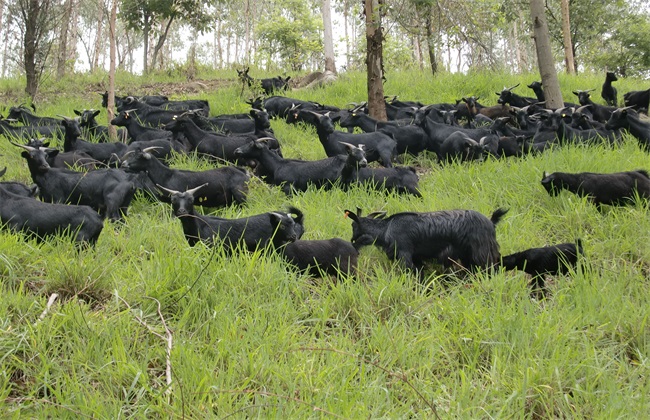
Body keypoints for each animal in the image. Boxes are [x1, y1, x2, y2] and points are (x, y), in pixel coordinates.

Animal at [344, 206, 506, 272]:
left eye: (352, 225)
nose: (351, 241)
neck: (386, 228)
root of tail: (491, 222)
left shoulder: (405, 254)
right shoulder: (417, 258)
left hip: (482, 253)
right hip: (468, 255)